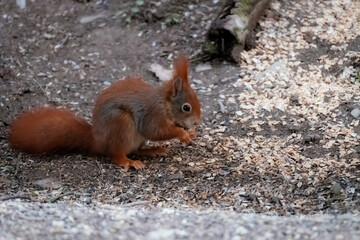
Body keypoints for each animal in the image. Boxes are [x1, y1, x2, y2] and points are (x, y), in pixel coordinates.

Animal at [8, 54, 201, 171]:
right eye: (186, 107)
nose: (198, 122)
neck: (165, 104)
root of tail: (97, 142)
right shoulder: (152, 115)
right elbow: (156, 131)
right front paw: (182, 134)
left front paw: (190, 132)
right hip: (121, 123)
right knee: (116, 153)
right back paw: (128, 162)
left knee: (136, 149)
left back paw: (153, 150)